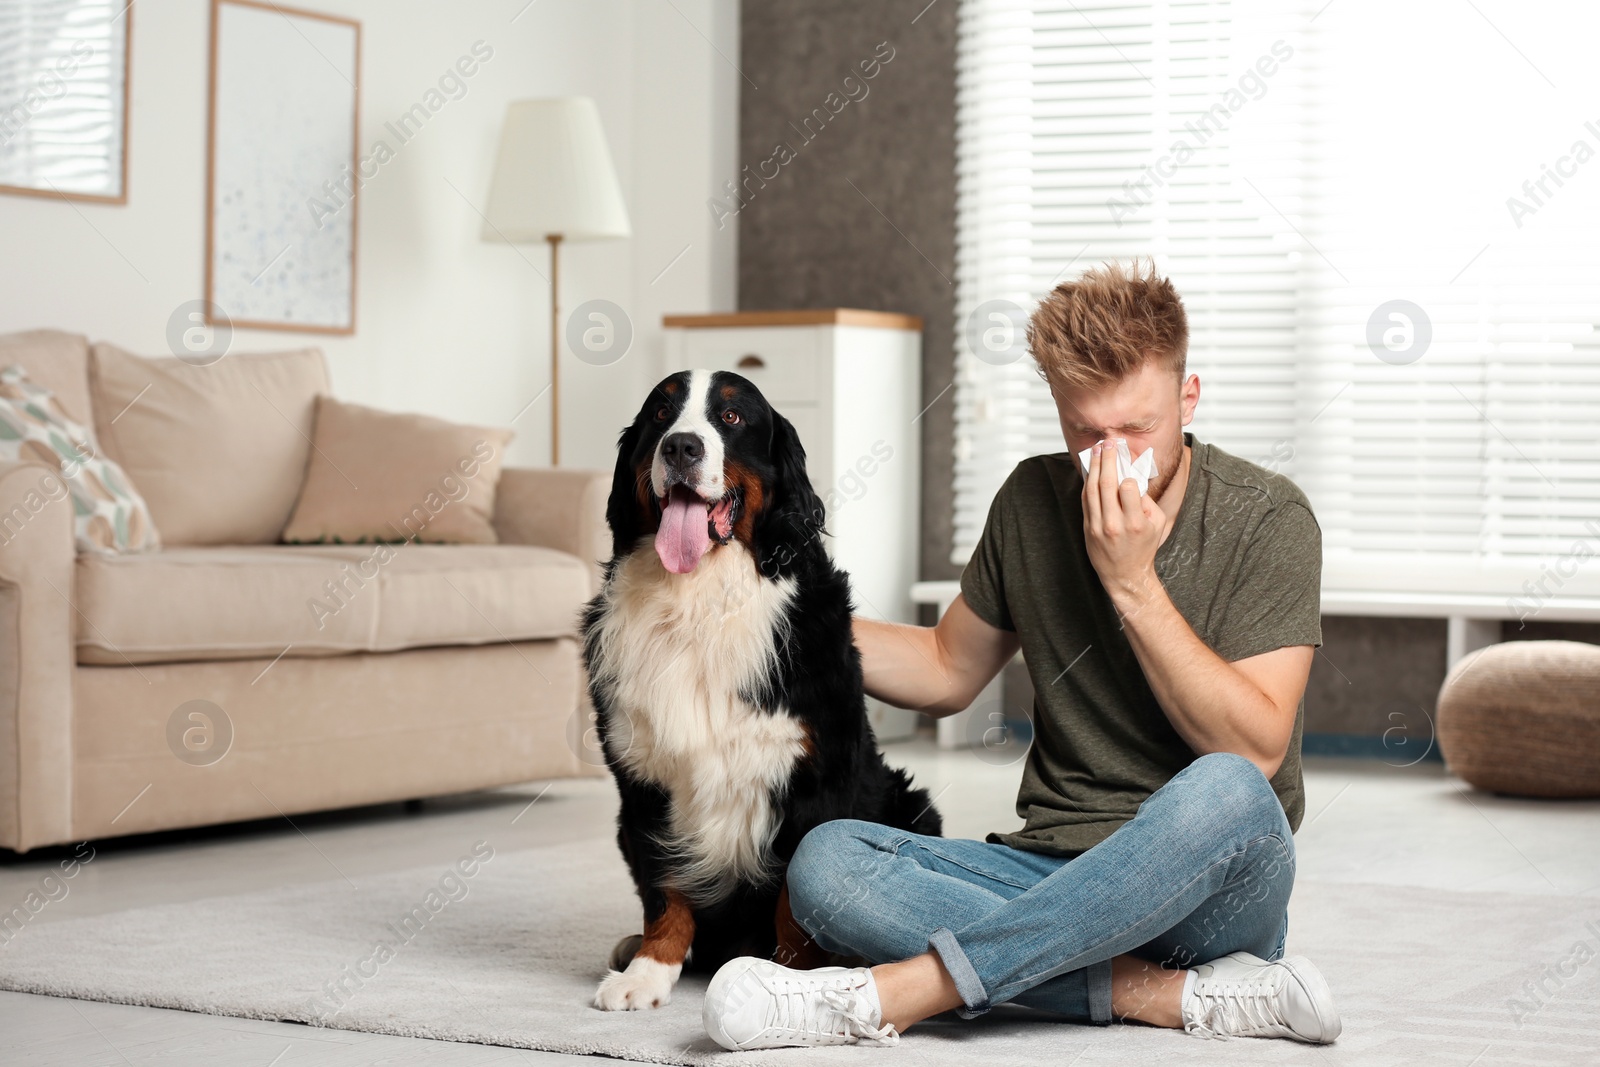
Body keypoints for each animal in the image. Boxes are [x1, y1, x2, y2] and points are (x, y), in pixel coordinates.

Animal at [582, 371, 940, 1017]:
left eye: (731, 417)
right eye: (660, 413)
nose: (681, 447)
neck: (700, 600)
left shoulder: (816, 780)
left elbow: (796, 904)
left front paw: (792, 980)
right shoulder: (644, 780)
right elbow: (663, 888)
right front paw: (648, 972)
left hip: (914, 803)